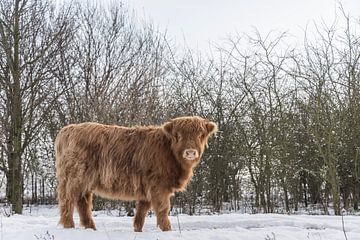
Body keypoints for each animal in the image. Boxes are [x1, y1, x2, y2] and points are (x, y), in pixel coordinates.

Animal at [53, 116, 217, 232]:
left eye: (201, 135)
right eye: (178, 135)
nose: (190, 152)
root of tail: (68, 129)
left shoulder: (148, 188)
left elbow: (142, 210)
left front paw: (137, 229)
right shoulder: (159, 185)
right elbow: (163, 208)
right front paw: (167, 230)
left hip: (86, 181)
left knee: (83, 202)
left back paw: (91, 228)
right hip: (75, 177)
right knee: (68, 200)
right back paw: (69, 226)